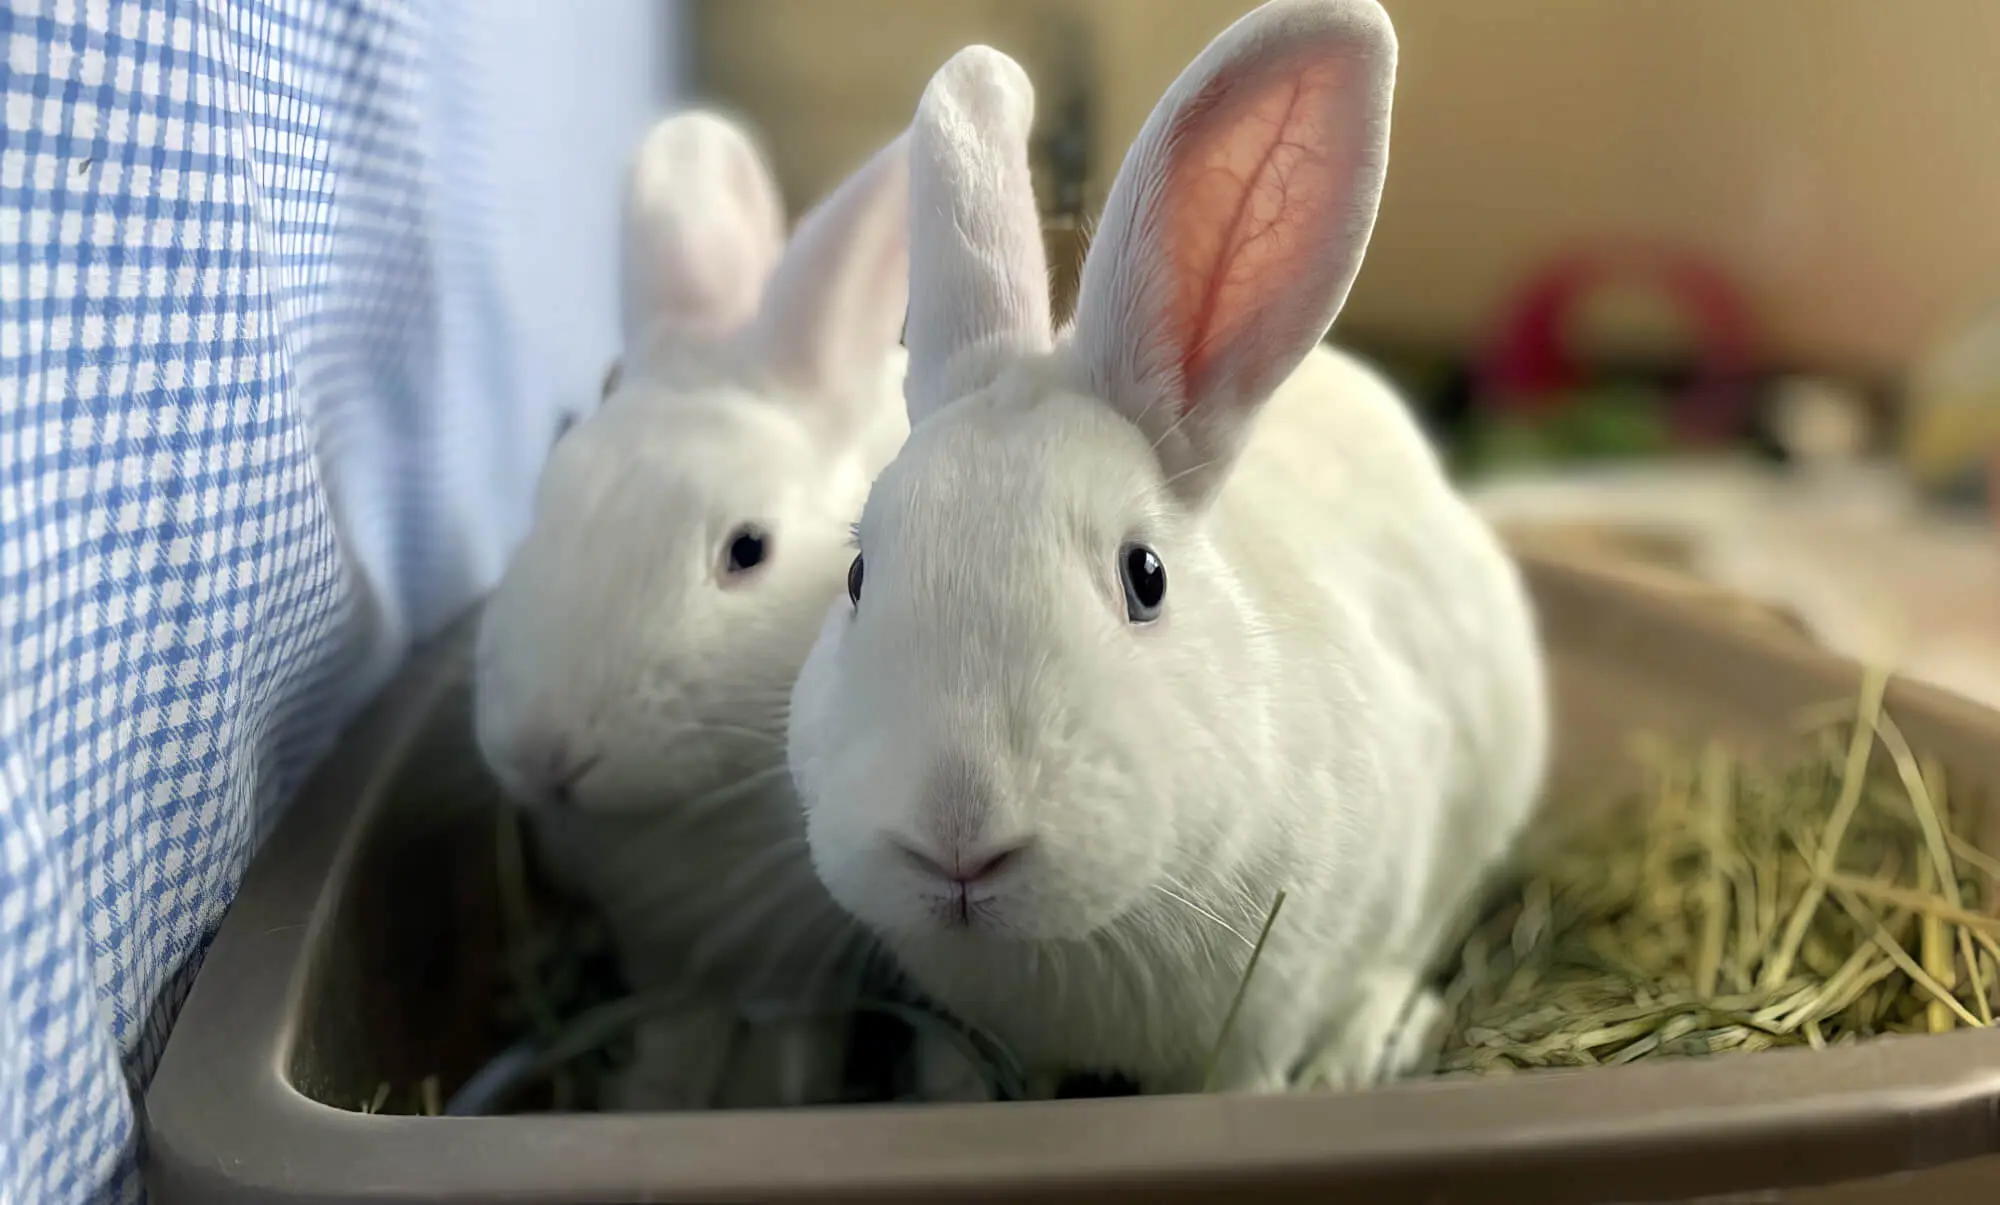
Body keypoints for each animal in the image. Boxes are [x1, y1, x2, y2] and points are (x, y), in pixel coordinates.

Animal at [473, 108, 913, 1110]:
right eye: (546, 495)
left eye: (748, 550)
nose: (546, 753)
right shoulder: (663, 958)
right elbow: (678, 1035)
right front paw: (650, 1096)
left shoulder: (801, 965)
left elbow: (792, 1041)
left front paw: (776, 1096)